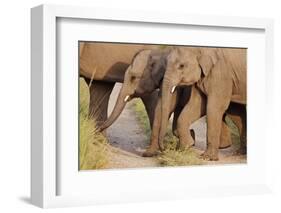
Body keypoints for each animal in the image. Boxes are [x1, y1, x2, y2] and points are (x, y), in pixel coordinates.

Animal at [99, 47, 232, 156]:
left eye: (133, 78)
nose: (99, 129)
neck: (159, 53)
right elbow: (161, 108)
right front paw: (149, 154)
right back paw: (224, 145)